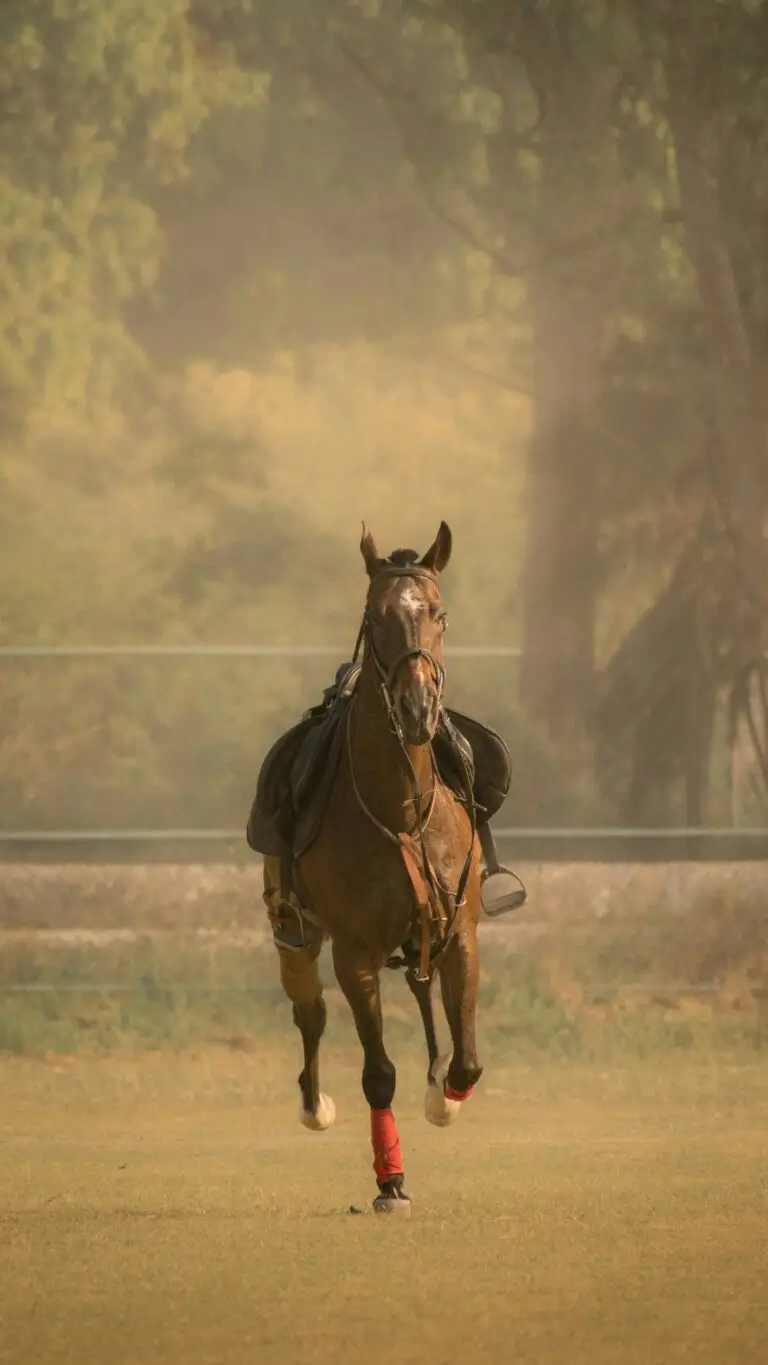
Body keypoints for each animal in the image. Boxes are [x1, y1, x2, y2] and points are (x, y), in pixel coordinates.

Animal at [262, 521, 484, 1212]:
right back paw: (314, 1106)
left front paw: (444, 1099)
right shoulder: (353, 951)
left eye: (439, 613)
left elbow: (468, 1061)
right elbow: (378, 1072)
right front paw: (391, 1181)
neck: (401, 811)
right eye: (374, 616)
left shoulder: (459, 932)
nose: (416, 710)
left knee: (420, 994)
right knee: (310, 1013)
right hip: (295, 933)